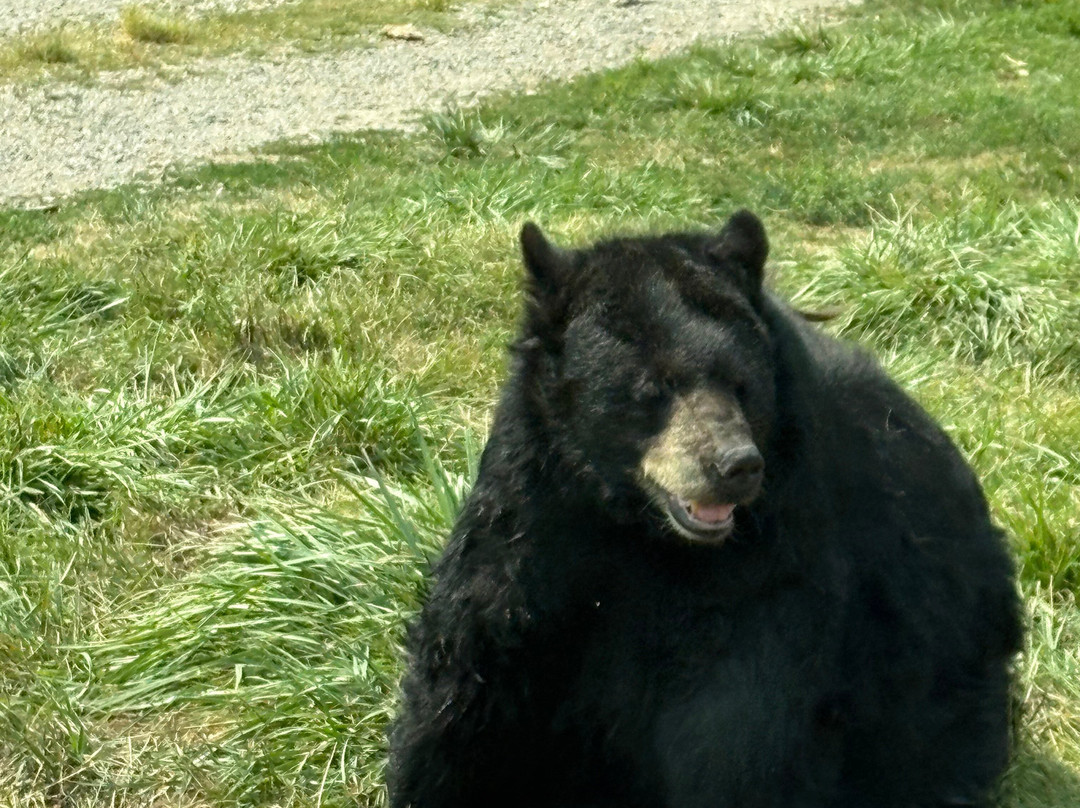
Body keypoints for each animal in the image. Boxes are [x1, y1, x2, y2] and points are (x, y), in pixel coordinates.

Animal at [387, 211, 1022, 808]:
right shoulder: (534, 512)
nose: (736, 465)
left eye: (742, 385)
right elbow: (472, 671)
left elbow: (737, 724)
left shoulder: (778, 557)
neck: (639, 529)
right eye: (651, 389)